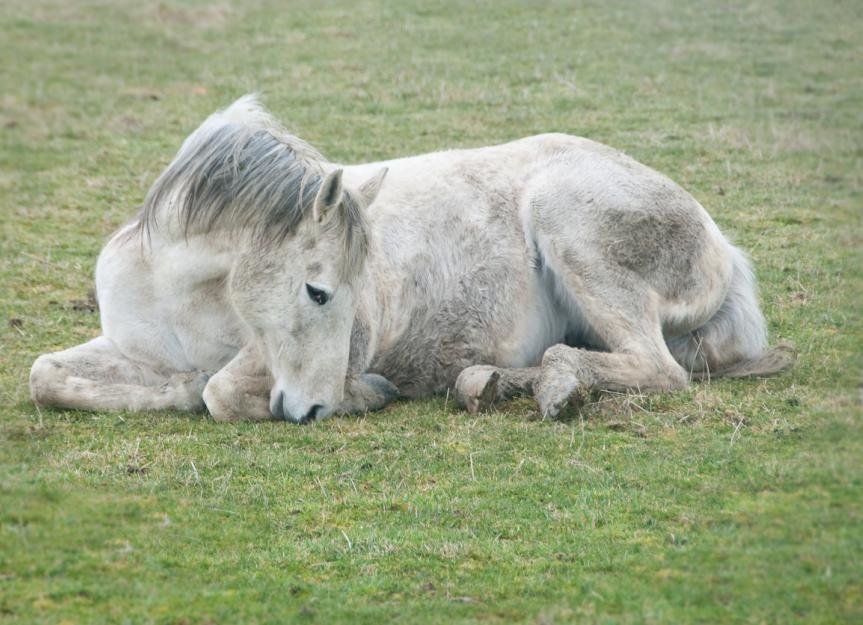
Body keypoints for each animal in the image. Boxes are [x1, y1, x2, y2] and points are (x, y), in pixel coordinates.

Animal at [29, 96, 795, 423]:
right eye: (317, 291)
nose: (313, 409)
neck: (177, 295)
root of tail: (720, 246)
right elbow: (45, 376)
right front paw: (171, 388)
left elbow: (219, 390)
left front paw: (364, 392)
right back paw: (494, 383)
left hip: (570, 226)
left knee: (656, 369)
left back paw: (548, 386)